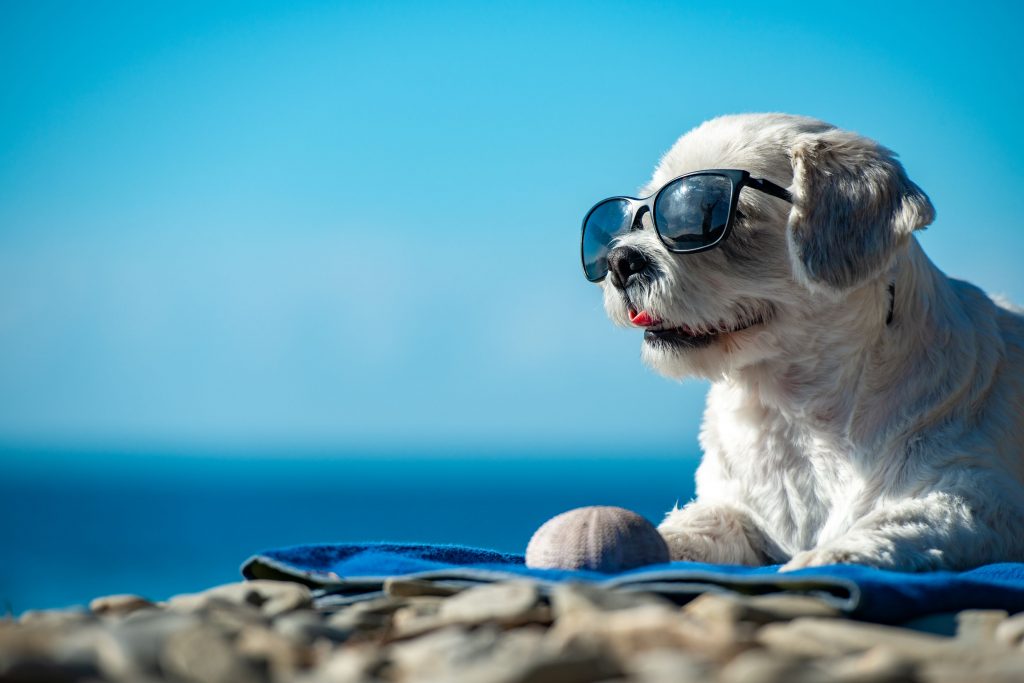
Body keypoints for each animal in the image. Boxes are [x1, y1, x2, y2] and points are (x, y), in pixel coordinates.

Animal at [593, 113, 1024, 573]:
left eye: (708, 216)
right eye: (634, 221)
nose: (619, 261)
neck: (793, 413)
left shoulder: (979, 501)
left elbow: (900, 523)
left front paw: (828, 556)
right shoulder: (737, 508)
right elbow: (694, 525)